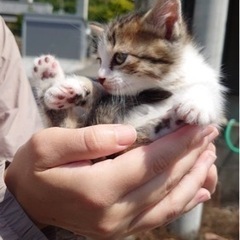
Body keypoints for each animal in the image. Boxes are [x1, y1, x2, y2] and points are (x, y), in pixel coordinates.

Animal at [30, 0, 225, 150]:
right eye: (99, 60)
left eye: (120, 58)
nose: (100, 76)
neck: (163, 84)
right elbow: (101, 90)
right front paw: (73, 87)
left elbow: (207, 88)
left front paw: (197, 104)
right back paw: (47, 77)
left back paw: (171, 121)